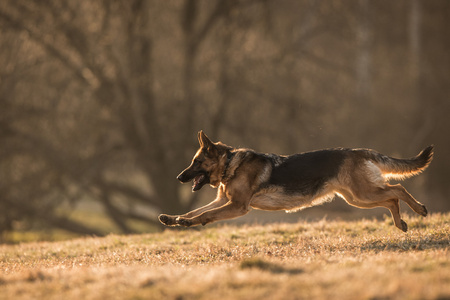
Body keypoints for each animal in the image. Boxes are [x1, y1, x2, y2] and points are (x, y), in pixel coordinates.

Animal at [160, 131, 434, 232]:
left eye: (196, 162)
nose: (178, 177)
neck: (230, 165)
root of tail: (359, 151)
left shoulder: (236, 207)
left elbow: (205, 215)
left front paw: (187, 222)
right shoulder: (223, 201)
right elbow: (195, 210)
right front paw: (174, 219)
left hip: (363, 194)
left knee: (397, 189)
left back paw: (420, 209)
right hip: (358, 198)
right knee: (391, 198)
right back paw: (400, 223)